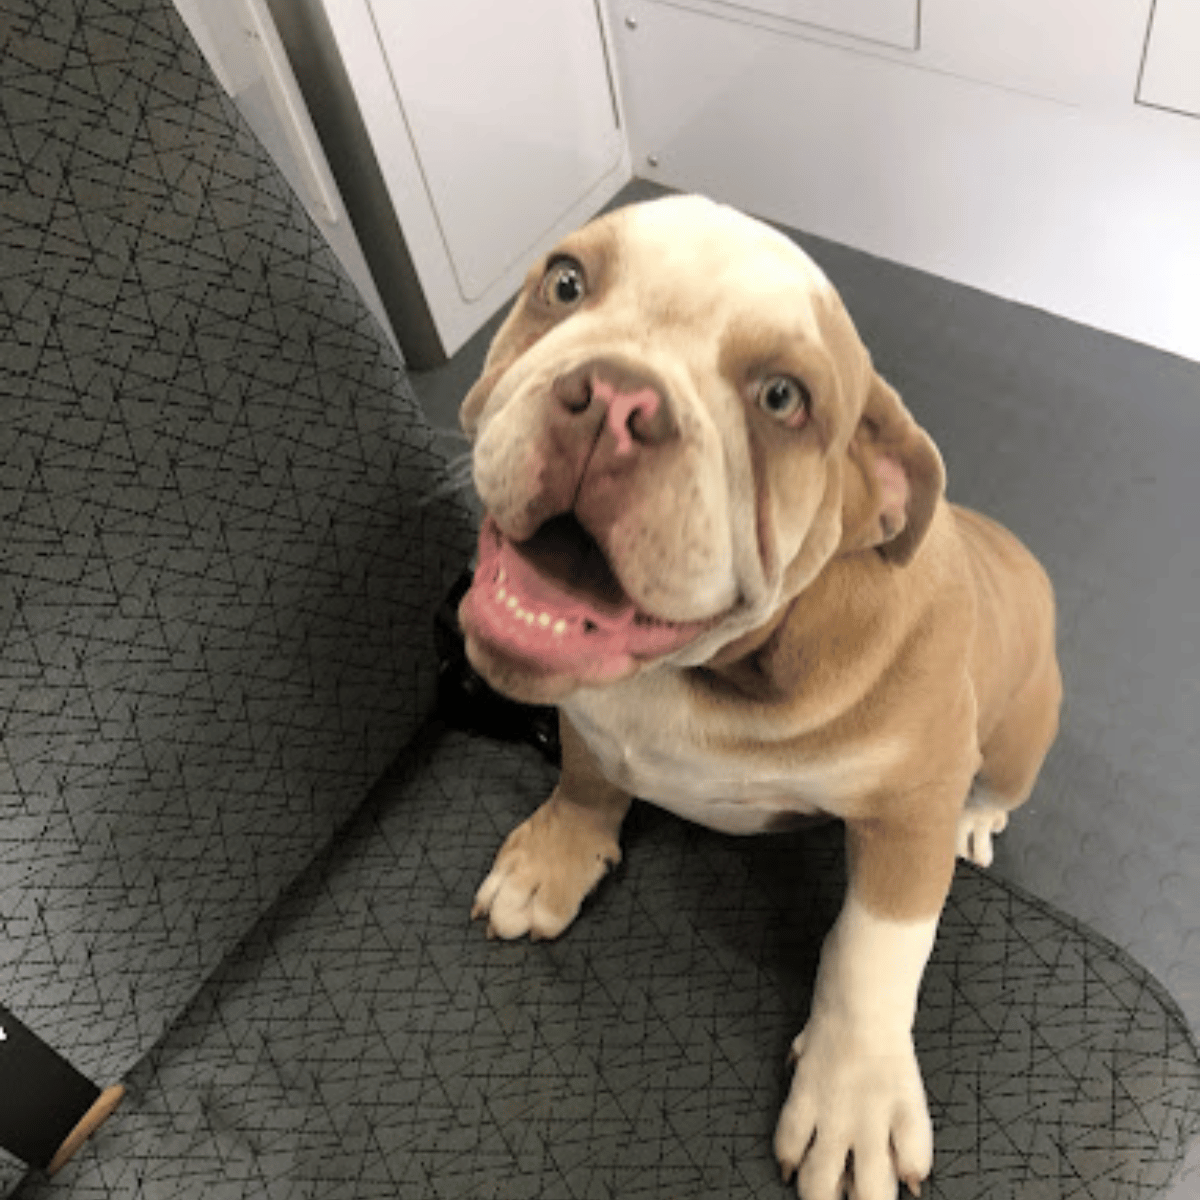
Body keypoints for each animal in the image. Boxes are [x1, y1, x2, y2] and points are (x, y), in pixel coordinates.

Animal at [456, 196, 1060, 1200]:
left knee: (997, 789)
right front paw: (557, 853)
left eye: (782, 399)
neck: (705, 669)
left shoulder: (908, 810)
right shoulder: (591, 721)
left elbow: (874, 952)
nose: (615, 398)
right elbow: (586, 778)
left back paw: (981, 820)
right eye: (565, 283)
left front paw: (853, 1095)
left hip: (1021, 735)